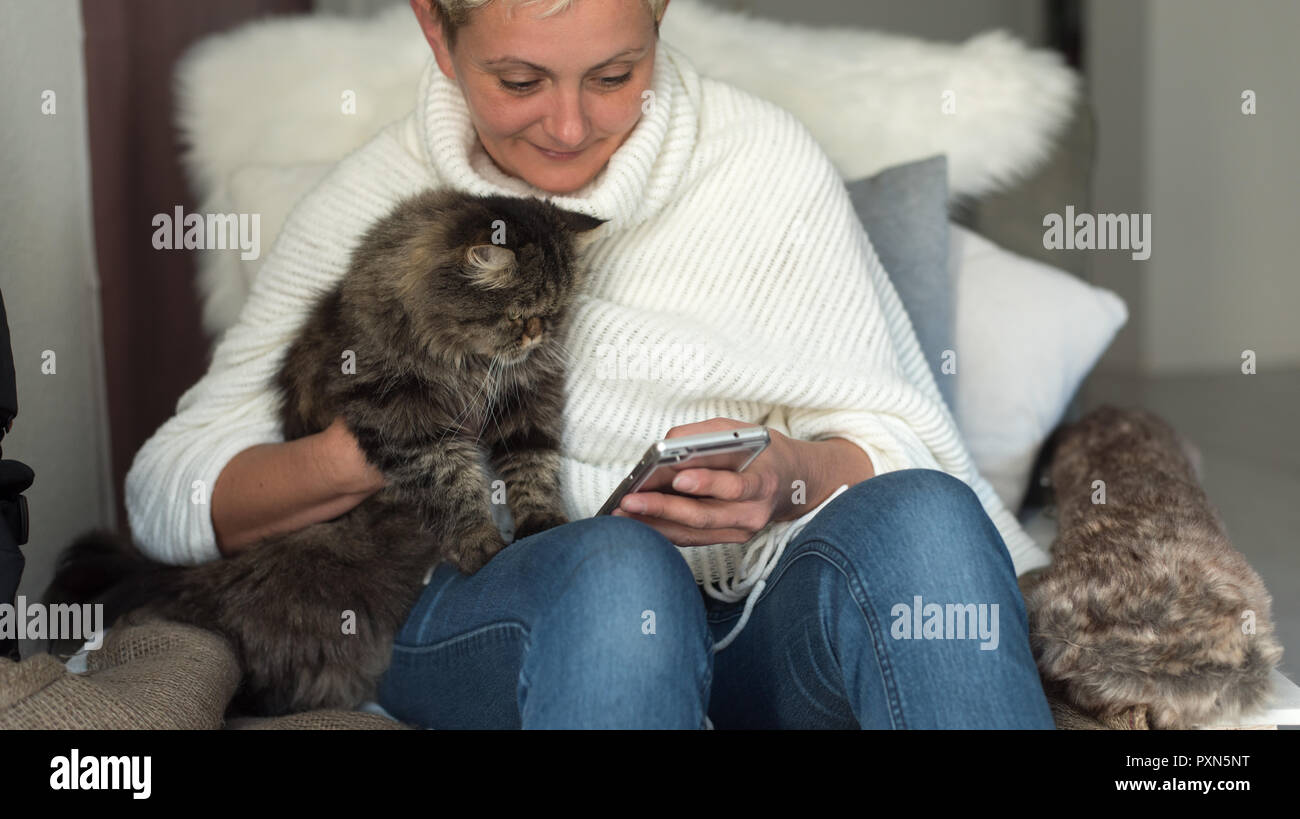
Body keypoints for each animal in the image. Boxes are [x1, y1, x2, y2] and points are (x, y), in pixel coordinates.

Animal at [45, 189, 603, 717]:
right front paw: (481, 545)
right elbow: (451, 483)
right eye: (518, 316)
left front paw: (543, 524)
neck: (463, 359)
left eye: (554, 313)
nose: (539, 336)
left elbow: (533, 467)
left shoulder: (525, 406)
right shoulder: (404, 419)